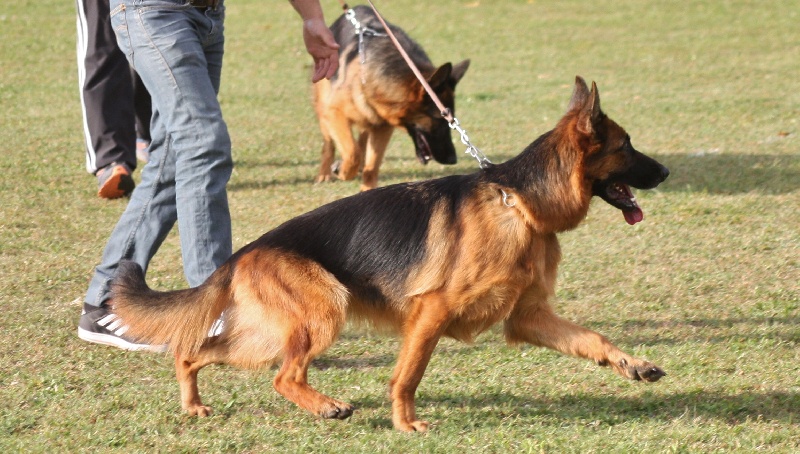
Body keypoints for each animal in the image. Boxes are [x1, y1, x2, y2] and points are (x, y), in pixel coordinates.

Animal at [111, 78, 668, 432]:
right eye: (627, 146)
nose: (664, 172)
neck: (520, 204)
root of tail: (243, 253)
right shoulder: (431, 313)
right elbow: (408, 374)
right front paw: (406, 423)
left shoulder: (527, 317)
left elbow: (593, 339)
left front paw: (633, 364)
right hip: (323, 314)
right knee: (284, 375)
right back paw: (326, 407)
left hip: (264, 336)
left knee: (194, 352)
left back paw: (194, 406)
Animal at [310, 6, 466, 192]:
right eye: (439, 119)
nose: (453, 159)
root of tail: (355, 8)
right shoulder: (335, 112)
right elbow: (352, 152)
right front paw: (343, 170)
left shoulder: (382, 127)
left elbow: (372, 165)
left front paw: (368, 189)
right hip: (324, 108)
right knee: (329, 143)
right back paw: (325, 172)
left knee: (362, 139)